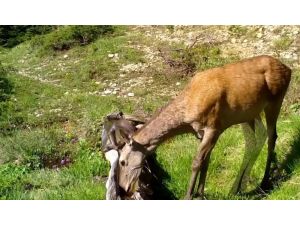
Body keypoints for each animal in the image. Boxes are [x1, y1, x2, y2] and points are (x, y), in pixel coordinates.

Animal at [117, 55, 290, 200]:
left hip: (275, 100)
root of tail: (288, 69)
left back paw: (264, 182)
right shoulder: (201, 133)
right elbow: (206, 161)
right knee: (256, 139)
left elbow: (197, 162)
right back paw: (238, 187)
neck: (186, 116)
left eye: (122, 162)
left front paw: (189, 196)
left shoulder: (214, 127)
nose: (123, 189)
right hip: (249, 113)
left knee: (272, 136)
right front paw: (200, 194)